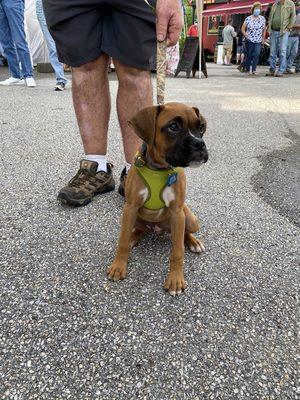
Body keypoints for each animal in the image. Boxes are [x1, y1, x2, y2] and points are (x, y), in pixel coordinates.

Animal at [108, 101, 209, 296]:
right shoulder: (130, 207)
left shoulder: (177, 213)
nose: (199, 143)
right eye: (173, 127)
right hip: (133, 217)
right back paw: (133, 236)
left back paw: (194, 242)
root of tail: (158, 229)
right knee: (138, 229)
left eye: (200, 127)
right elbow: (122, 241)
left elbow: (177, 252)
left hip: (189, 219)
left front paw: (175, 280)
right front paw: (118, 266)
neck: (159, 168)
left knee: (185, 233)